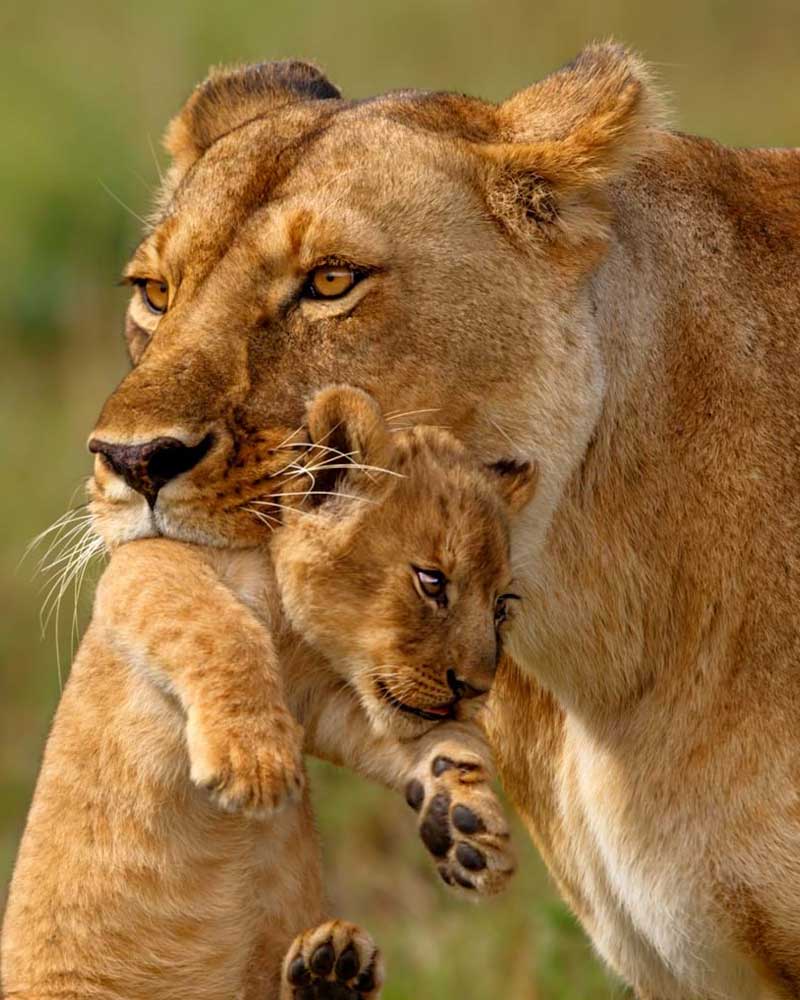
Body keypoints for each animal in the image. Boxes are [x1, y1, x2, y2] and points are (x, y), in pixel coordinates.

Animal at [1, 386, 533, 1000]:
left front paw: (467, 823)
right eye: (431, 582)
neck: (292, 634)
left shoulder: (321, 703)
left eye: (501, 607)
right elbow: (216, 626)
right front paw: (253, 766)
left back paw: (333, 972)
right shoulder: (147, 563)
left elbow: (440, 739)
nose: (474, 687)